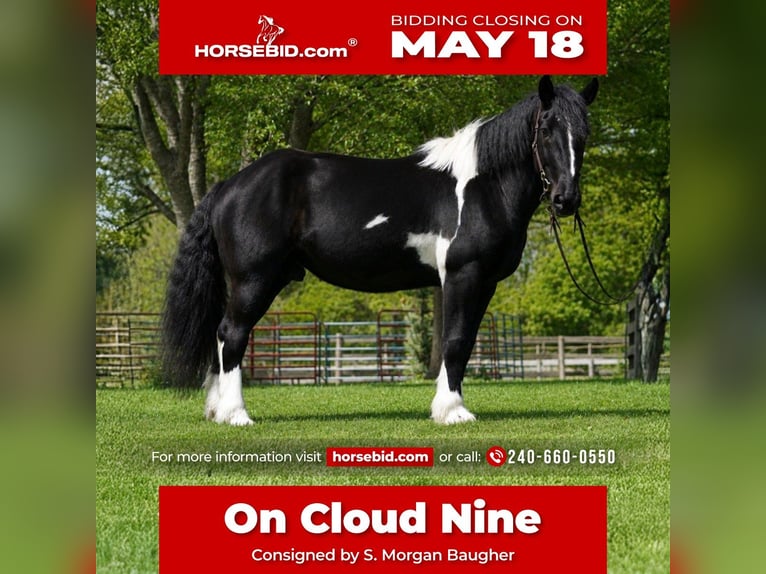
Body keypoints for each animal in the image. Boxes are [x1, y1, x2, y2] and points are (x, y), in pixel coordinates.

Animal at [161, 75, 599, 426]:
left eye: (584, 133)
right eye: (546, 129)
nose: (566, 200)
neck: (481, 186)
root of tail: (229, 186)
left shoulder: (484, 282)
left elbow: (465, 342)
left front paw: (449, 406)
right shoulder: (463, 275)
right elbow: (455, 341)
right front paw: (452, 412)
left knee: (222, 337)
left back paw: (216, 410)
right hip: (255, 280)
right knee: (231, 334)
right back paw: (236, 415)